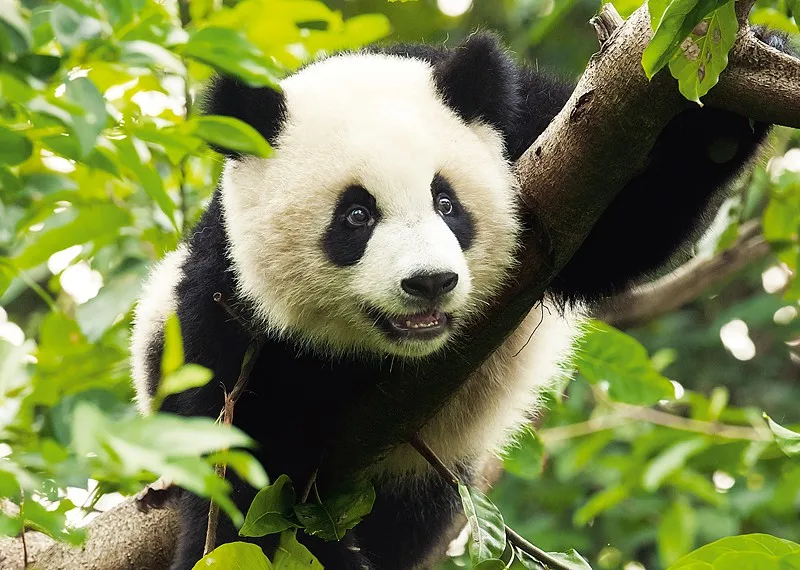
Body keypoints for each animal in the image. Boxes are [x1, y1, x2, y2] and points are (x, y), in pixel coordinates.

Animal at [131, 30, 790, 570]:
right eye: (356, 215)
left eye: (446, 202)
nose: (429, 282)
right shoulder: (226, 311)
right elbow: (245, 477)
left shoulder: (537, 135)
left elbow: (625, 225)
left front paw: (738, 75)